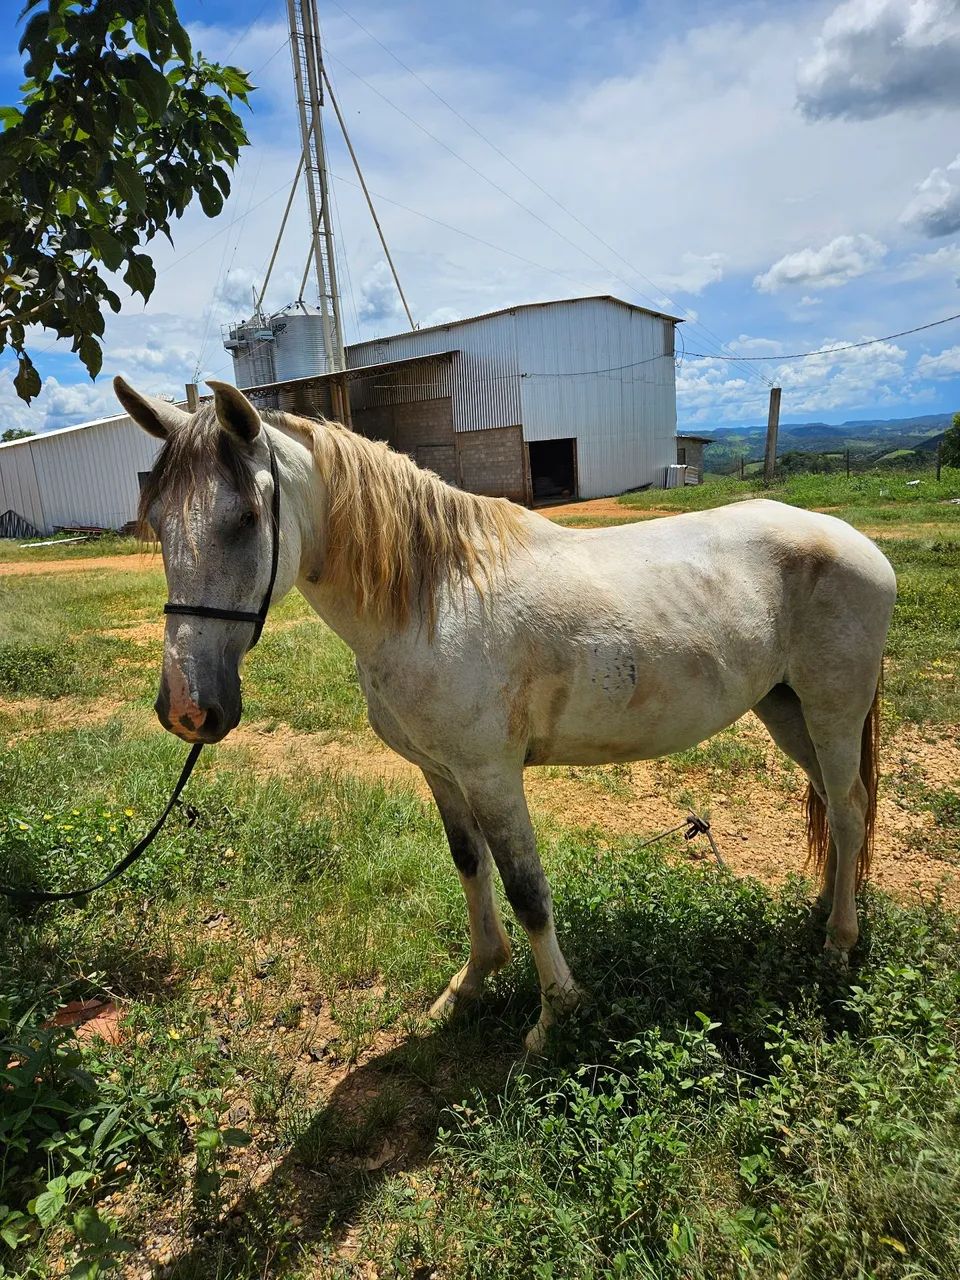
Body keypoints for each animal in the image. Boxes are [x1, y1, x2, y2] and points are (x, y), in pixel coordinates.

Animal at [115, 376, 897, 1052]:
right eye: (157, 522)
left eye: (246, 519)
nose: (187, 709)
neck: (434, 598)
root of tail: (853, 541)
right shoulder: (442, 772)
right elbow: (471, 866)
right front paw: (469, 986)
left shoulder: (492, 775)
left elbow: (526, 890)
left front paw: (555, 1018)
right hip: (785, 710)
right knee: (833, 801)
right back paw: (823, 912)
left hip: (833, 709)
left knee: (850, 808)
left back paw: (838, 944)